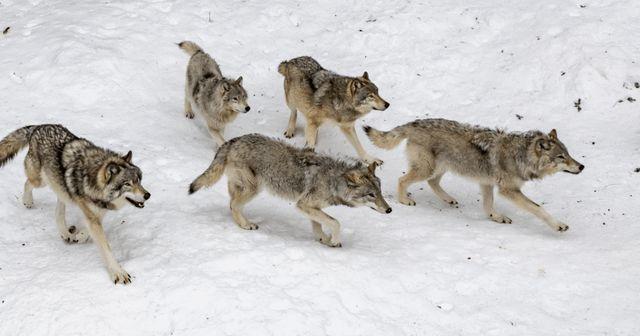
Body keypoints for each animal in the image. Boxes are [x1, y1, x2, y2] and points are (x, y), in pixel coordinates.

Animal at [188, 133, 392, 247]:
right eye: (371, 195)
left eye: (380, 192)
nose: (390, 209)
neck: (333, 180)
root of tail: (232, 140)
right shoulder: (303, 205)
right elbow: (335, 222)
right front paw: (334, 240)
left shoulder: (312, 207)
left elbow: (319, 225)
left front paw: (324, 240)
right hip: (254, 188)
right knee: (233, 205)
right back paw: (246, 225)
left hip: (245, 188)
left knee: (231, 203)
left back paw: (242, 222)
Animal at [362, 119, 584, 232]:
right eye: (561, 157)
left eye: (568, 154)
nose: (582, 166)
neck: (520, 156)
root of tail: (413, 123)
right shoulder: (508, 191)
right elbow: (539, 209)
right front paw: (559, 225)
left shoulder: (487, 183)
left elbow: (488, 206)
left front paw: (496, 217)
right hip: (427, 168)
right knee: (402, 180)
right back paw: (404, 200)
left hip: (441, 167)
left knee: (432, 182)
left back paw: (449, 199)